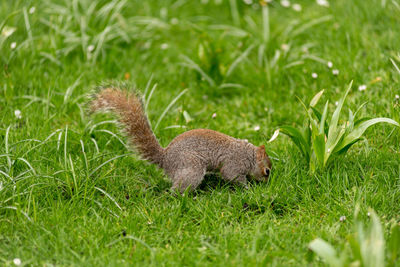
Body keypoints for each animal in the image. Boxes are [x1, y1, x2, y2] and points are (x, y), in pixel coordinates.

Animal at [90, 87, 272, 194]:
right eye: (267, 171)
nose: (266, 184)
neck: (248, 154)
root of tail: (165, 159)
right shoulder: (235, 163)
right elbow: (231, 175)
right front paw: (248, 187)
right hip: (191, 167)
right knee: (177, 189)